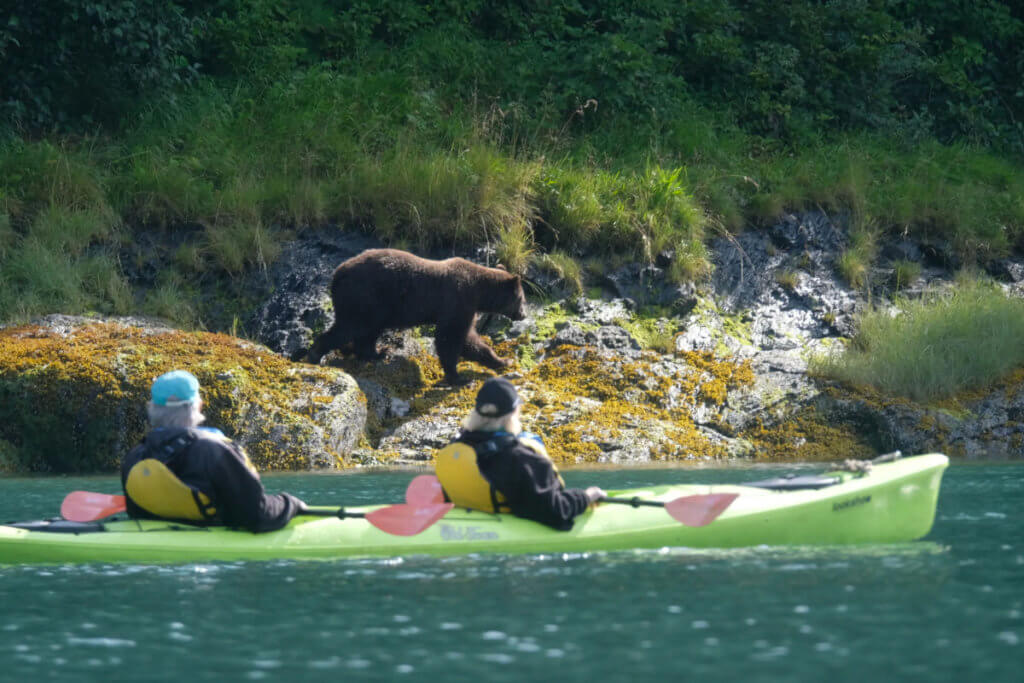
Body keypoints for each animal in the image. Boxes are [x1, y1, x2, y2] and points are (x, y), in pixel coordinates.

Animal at [303, 248, 528, 382]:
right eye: (522, 298)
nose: (523, 315)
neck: (479, 290)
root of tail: (336, 275)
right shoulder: (458, 301)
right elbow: (450, 337)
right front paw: (457, 377)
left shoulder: (465, 308)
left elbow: (469, 339)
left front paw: (502, 361)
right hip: (364, 297)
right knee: (350, 327)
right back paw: (316, 354)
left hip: (373, 307)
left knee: (366, 332)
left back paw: (377, 353)